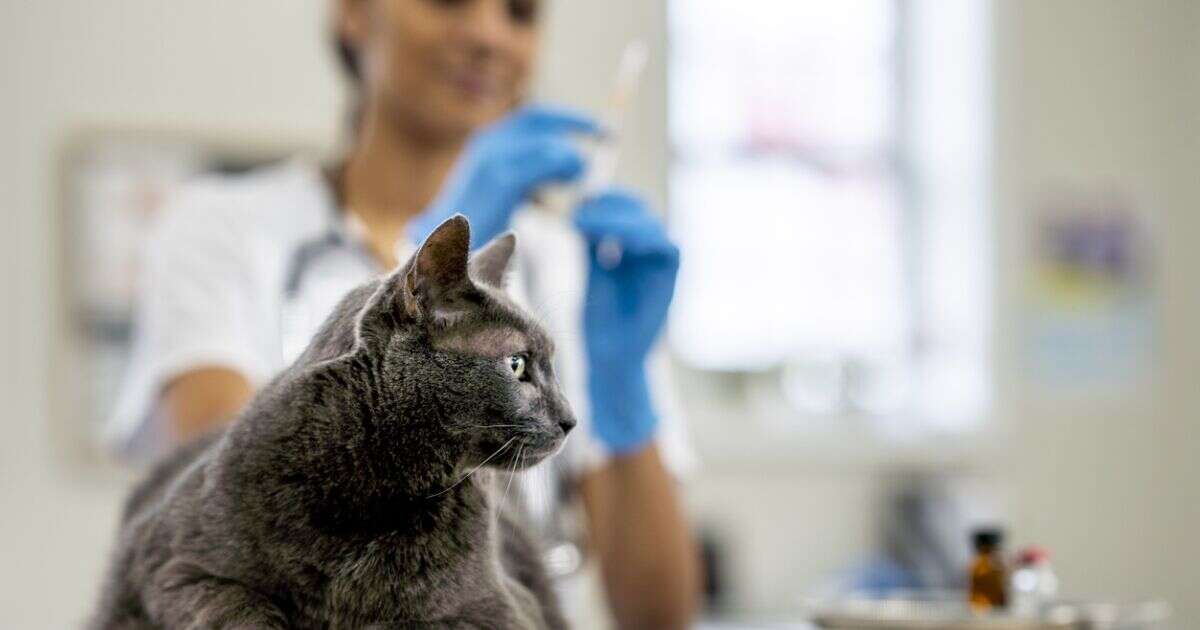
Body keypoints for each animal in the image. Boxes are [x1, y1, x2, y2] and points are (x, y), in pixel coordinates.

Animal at [90, 216, 576, 628]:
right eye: (517, 364)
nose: (571, 419)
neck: (380, 490)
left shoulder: (505, 607)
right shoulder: (170, 566)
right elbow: (240, 604)